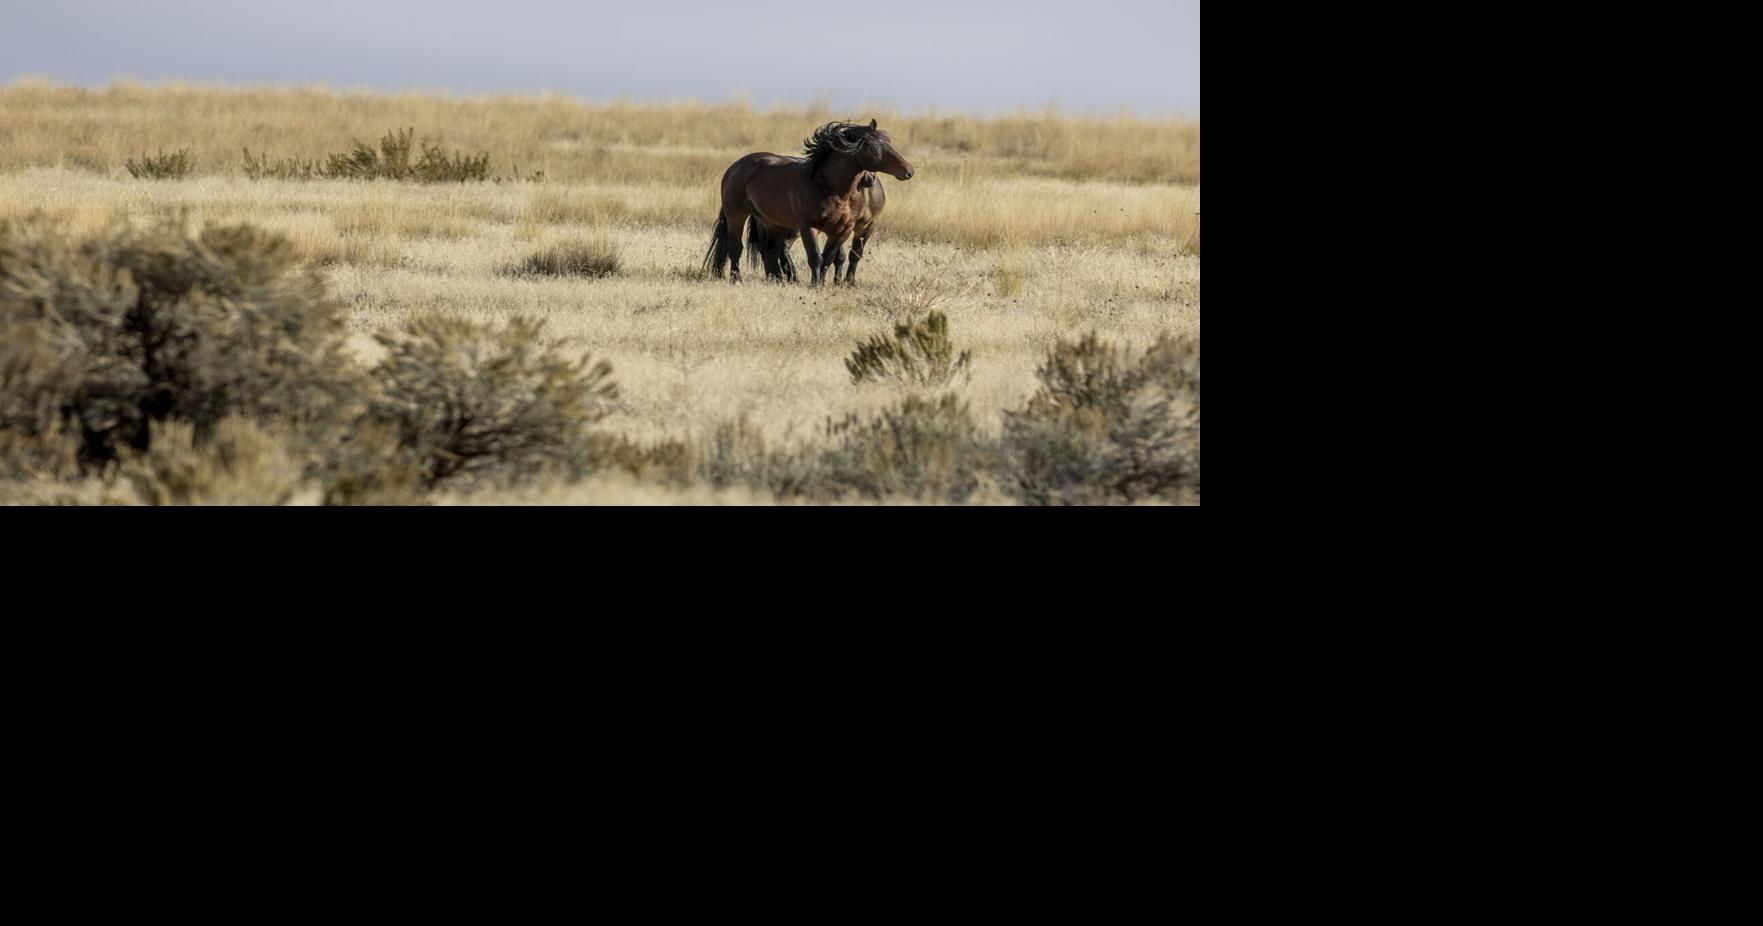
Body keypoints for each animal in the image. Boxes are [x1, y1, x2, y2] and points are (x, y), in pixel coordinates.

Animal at [701, 120, 913, 286]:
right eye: (876, 148)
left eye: (889, 144)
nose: (909, 171)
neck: (829, 189)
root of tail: (735, 167)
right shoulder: (808, 227)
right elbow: (816, 257)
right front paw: (816, 284)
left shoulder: (842, 229)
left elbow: (830, 257)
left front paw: (822, 283)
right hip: (737, 215)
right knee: (736, 246)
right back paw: (737, 280)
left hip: (771, 222)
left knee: (771, 250)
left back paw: (778, 279)